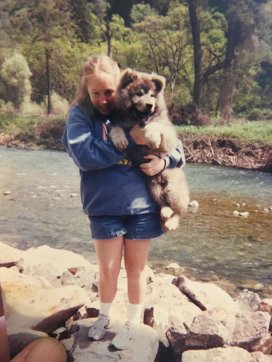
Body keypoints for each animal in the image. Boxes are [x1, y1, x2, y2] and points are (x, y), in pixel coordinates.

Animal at [109, 69, 189, 230]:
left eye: (152, 95)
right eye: (139, 94)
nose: (149, 105)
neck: (137, 121)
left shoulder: (169, 136)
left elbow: (154, 125)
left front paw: (153, 138)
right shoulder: (119, 122)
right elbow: (116, 128)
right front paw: (120, 140)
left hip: (173, 189)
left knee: (179, 211)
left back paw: (171, 222)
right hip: (154, 188)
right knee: (164, 204)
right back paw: (165, 211)